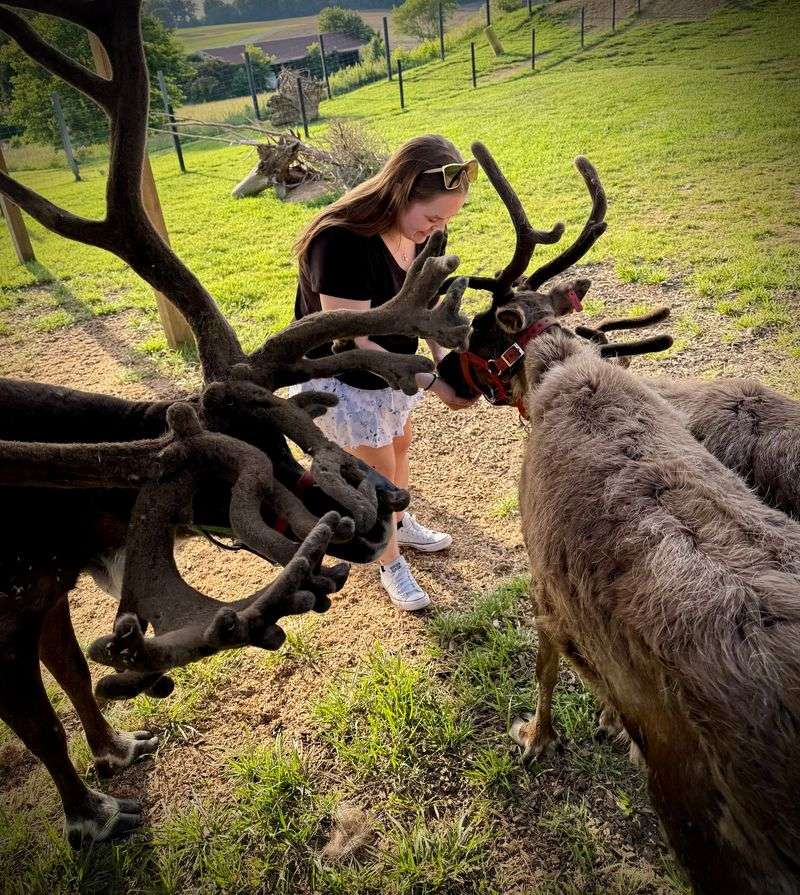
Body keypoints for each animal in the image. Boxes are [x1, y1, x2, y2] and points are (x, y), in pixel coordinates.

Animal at [0, 0, 470, 847]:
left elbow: (78, 676)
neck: (66, 521)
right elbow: (45, 723)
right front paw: (94, 814)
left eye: (282, 441)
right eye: (222, 482)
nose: (371, 514)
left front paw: (117, 749)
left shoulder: (40, 592)